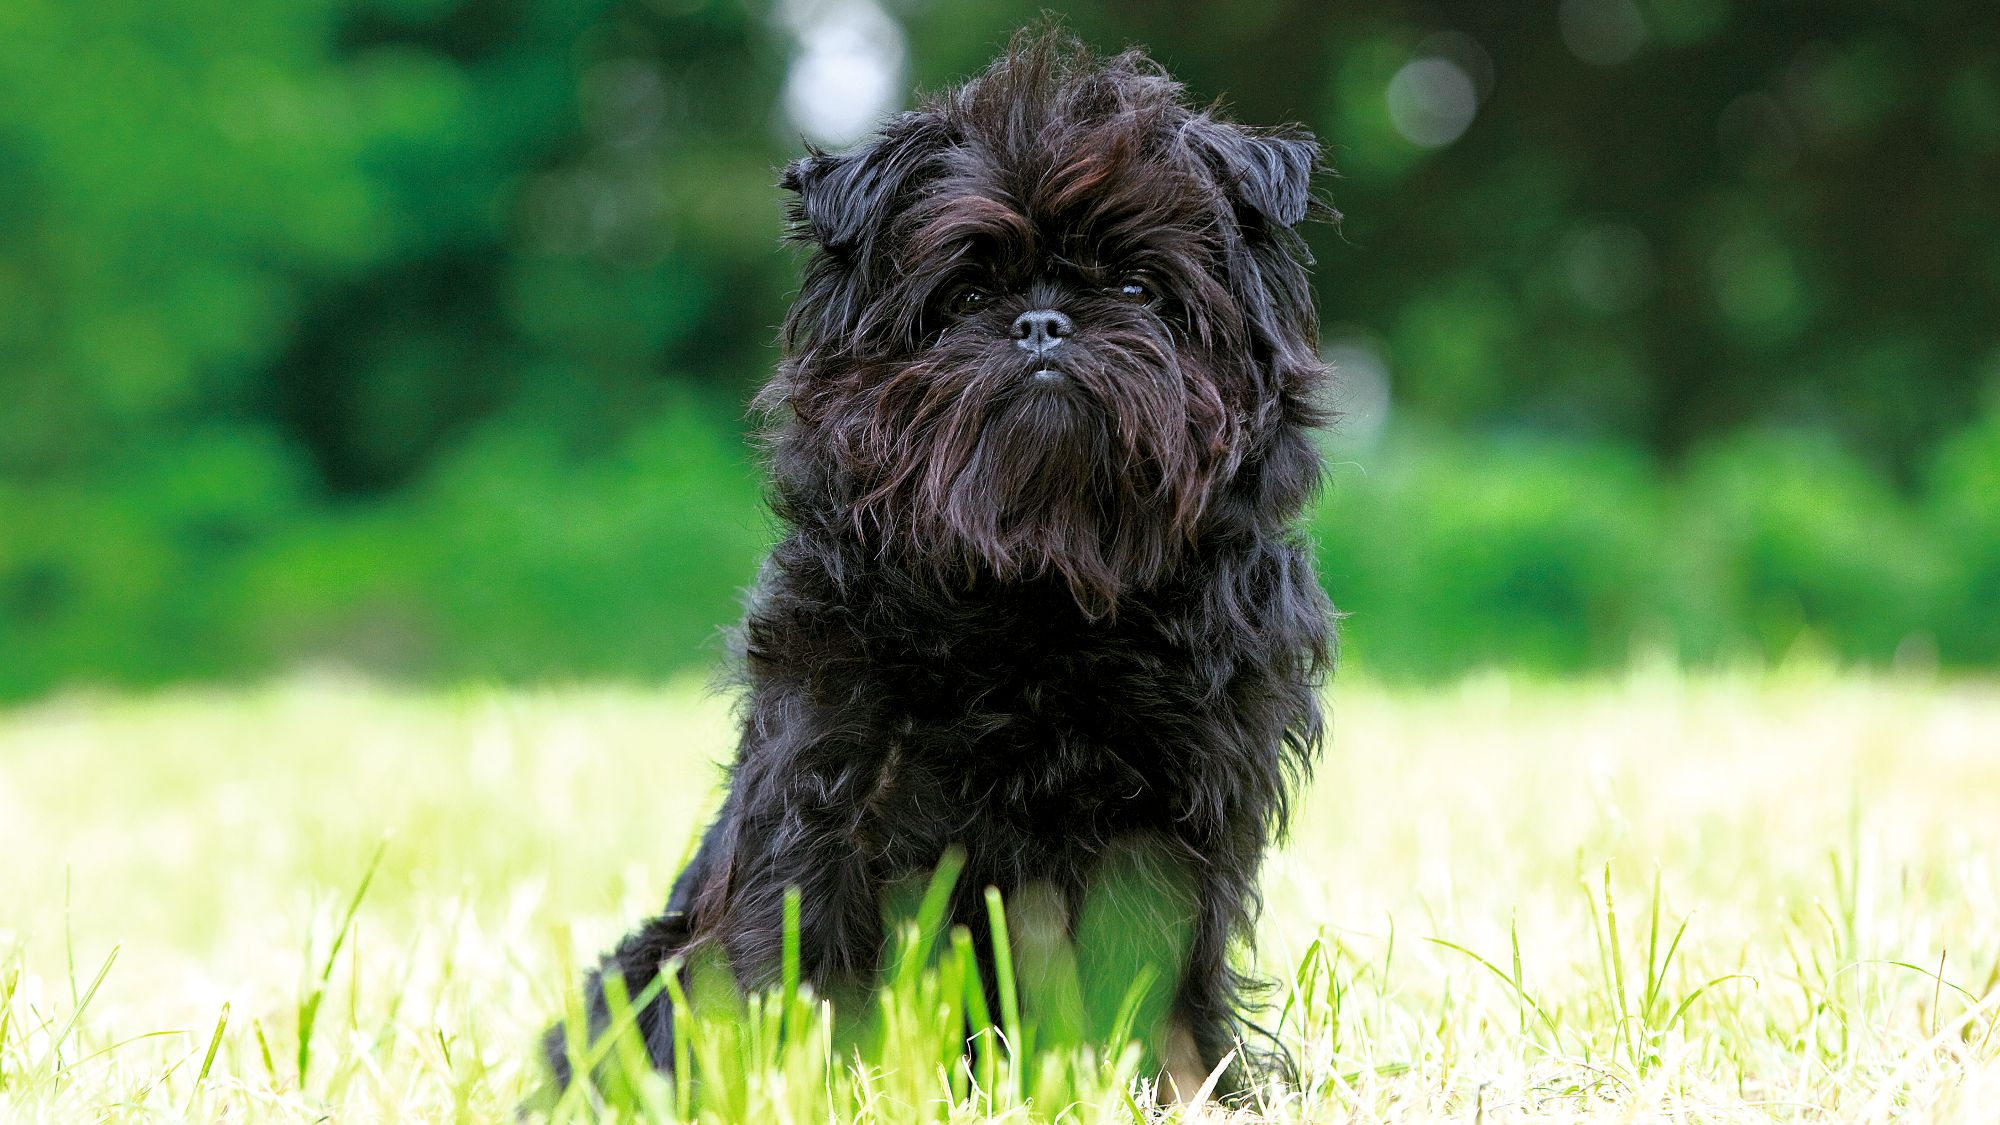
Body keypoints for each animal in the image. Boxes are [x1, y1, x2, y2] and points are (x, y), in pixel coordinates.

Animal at [548, 32, 1336, 1096]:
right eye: (965, 296)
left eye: (1138, 289)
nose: (1043, 324)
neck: (1043, 589)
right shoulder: (829, 792)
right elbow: (805, 960)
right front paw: (799, 1088)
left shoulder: (1185, 818)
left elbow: (1166, 979)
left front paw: (1184, 1087)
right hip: (638, 970)